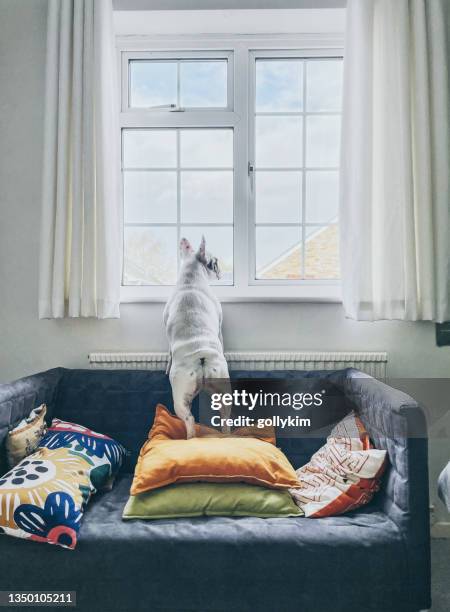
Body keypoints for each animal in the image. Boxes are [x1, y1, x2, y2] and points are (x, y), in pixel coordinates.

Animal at [163, 237, 230, 438]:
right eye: (215, 262)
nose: (219, 268)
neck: (190, 281)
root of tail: (201, 359)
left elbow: (168, 353)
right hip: (223, 390)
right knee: (224, 418)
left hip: (180, 396)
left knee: (189, 419)